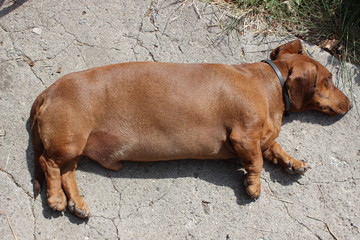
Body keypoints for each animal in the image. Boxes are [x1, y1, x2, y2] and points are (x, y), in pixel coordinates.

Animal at [30, 39, 352, 218]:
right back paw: (56, 198)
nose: (350, 104)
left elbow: (274, 147)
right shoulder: (243, 136)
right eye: (329, 79)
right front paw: (254, 185)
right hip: (69, 141)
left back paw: (77, 204)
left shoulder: (262, 138)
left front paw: (292, 162)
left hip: (75, 146)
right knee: (49, 163)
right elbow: (257, 162)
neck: (269, 84)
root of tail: (48, 91)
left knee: (67, 172)